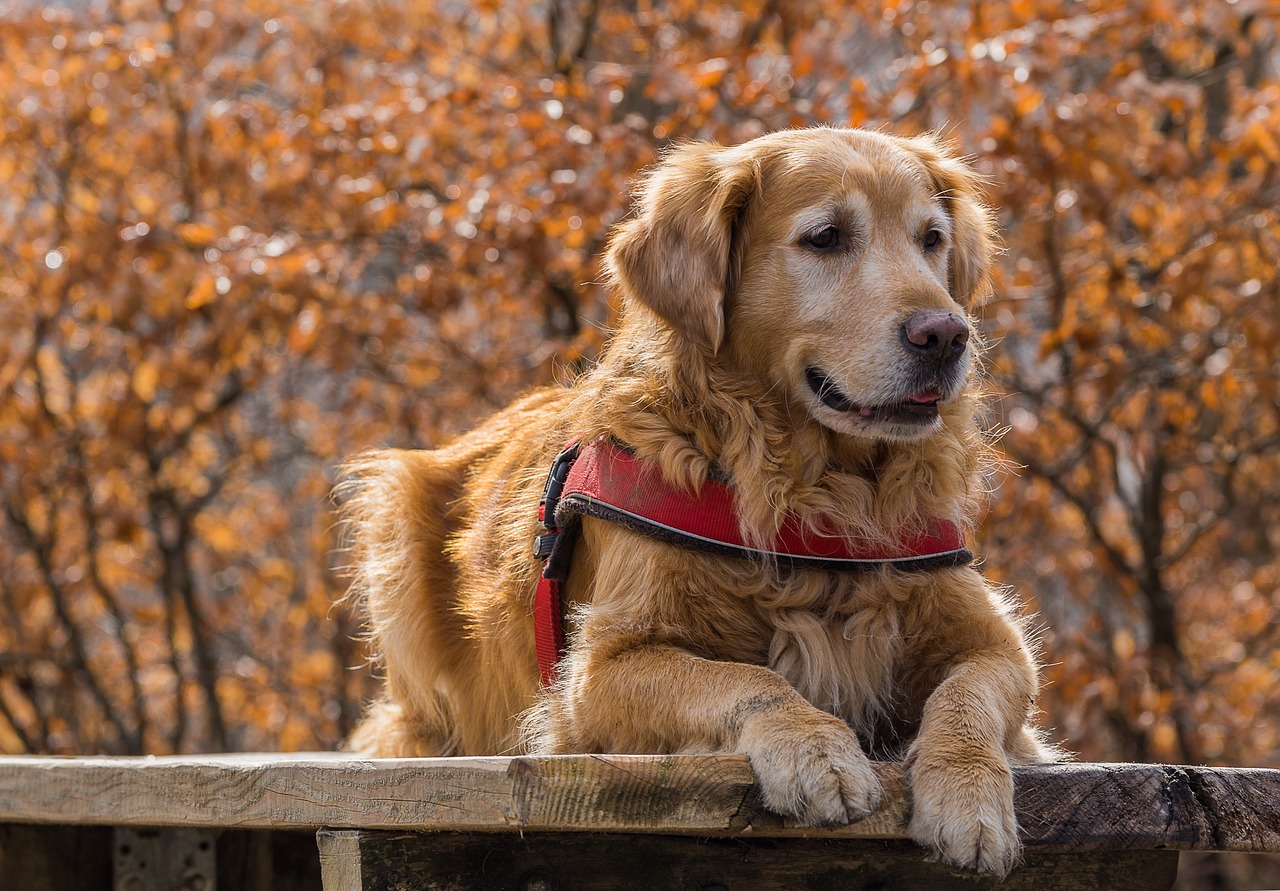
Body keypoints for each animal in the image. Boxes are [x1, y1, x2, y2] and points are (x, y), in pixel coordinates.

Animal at [335, 126, 1054, 875]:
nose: (946, 334)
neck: (817, 492)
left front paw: (969, 794)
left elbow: (968, 695)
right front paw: (815, 748)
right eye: (826, 237)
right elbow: (742, 678)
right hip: (393, 511)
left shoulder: (994, 640)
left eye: (931, 238)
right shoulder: (599, 671)